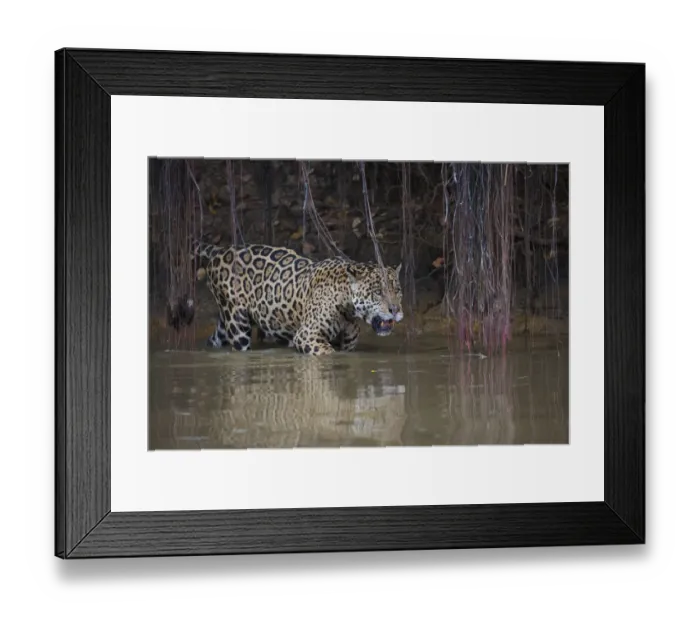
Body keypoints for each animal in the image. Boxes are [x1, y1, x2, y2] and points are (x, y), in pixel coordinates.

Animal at [191, 241, 404, 355]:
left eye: (398, 291)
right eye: (378, 292)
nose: (395, 310)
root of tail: (221, 250)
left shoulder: (347, 344)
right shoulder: (307, 335)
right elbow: (327, 354)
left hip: (226, 320)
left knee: (215, 339)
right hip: (238, 325)